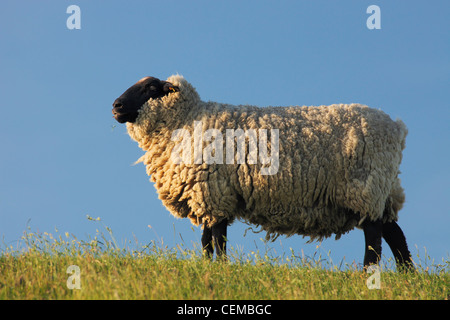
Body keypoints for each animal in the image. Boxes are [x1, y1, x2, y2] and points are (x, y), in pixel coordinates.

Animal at [110, 75, 414, 270]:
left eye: (151, 87)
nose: (116, 106)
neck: (186, 119)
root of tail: (397, 129)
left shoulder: (214, 192)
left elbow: (217, 239)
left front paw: (221, 269)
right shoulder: (209, 196)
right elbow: (207, 240)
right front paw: (207, 267)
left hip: (365, 188)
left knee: (374, 239)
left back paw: (368, 276)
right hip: (382, 191)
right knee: (395, 235)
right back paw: (407, 277)